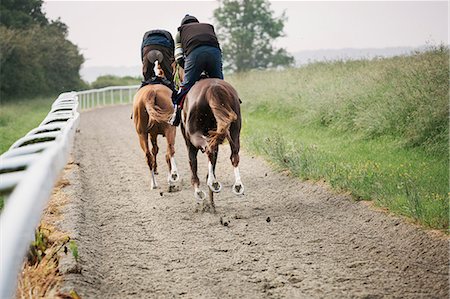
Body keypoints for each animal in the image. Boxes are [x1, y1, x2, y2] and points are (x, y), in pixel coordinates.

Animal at [132, 53, 179, 190]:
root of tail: (151, 92)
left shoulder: (152, 133)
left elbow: (155, 150)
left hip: (141, 133)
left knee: (148, 155)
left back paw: (154, 183)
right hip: (170, 129)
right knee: (170, 151)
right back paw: (172, 178)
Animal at [177, 64, 246, 205]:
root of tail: (213, 89)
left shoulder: (188, 141)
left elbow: (193, 162)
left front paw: (199, 191)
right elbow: (214, 158)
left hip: (194, 135)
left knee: (208, 149)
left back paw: (212, 183)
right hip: (235, 129)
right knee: (234, 154)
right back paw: (237, 185)